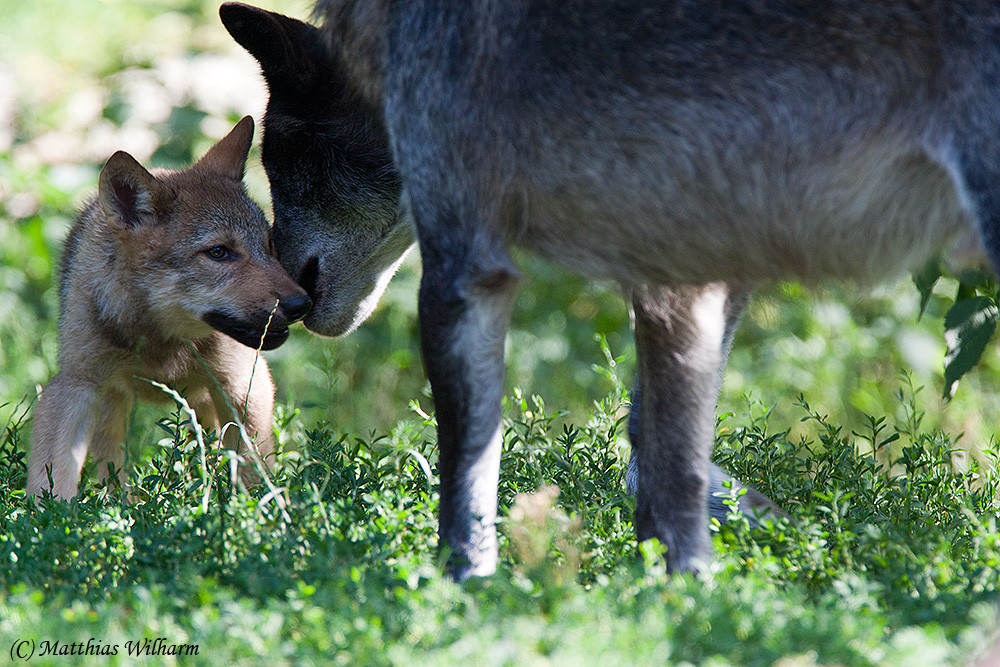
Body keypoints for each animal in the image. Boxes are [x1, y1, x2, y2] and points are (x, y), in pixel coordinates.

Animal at [28, 116, 308, 500]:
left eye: (269, 246)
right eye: (219, 252)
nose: (302, 304)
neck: (160, 343)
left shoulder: (242, 386)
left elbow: (252, 472)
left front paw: (253, 511)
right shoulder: (74, 385)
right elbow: (49, 484)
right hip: (114, 407)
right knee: (114, 470)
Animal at [223, 1, 996, 580]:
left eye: (281, 153)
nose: (284, 302)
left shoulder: (465, 270)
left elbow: (467, 484)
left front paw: (463, 594)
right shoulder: (692, 286)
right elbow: (659, 462)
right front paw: (675, 595)